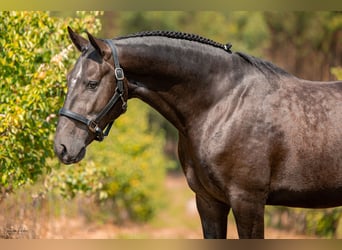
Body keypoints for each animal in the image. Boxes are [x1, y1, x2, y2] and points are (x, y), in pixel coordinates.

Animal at [53, 26, 342, 238]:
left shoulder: (248, 202)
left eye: (92, 84)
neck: (222, 104)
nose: (62, 147)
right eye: (68, 80)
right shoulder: (208, 201)